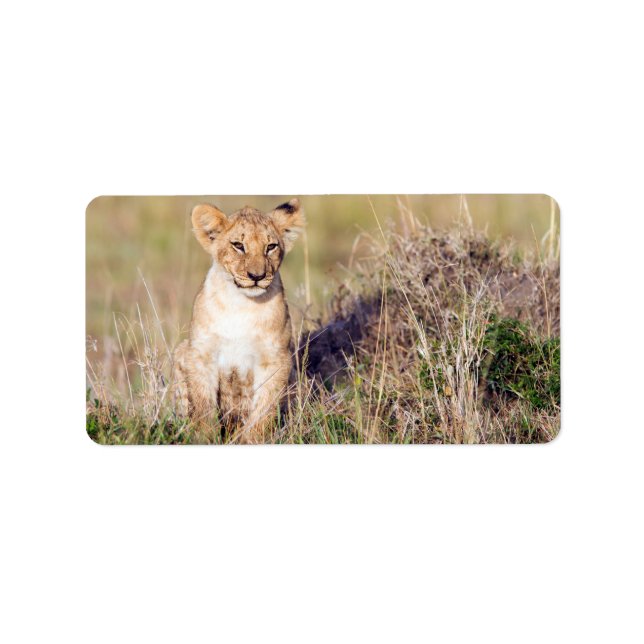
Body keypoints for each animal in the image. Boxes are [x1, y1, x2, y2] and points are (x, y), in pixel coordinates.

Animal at [172, 198, 305, 443]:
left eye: (271, 247)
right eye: (238, 245)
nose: (257, 276)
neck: (242, 304)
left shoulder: (275, 359)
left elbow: (264, 410)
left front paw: (252, 440)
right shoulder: (201, 354)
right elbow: (203, 406)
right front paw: (204, 438)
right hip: (181, 350)